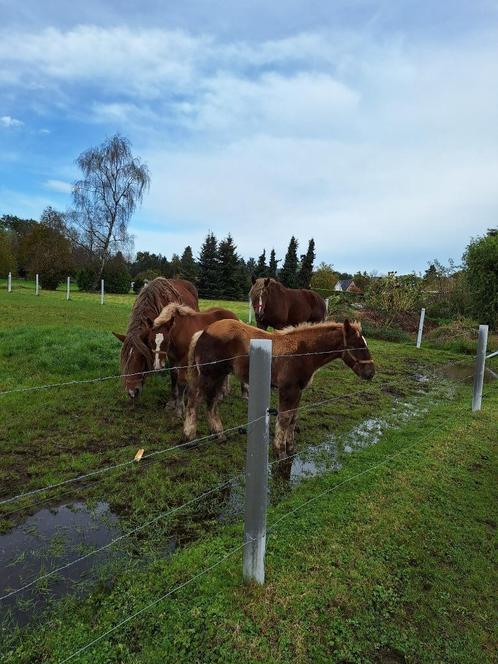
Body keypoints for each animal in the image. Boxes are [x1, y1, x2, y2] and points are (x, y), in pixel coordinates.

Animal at [183, 320, 374, 460]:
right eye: (357, 346)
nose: (370, 372)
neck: (302, 352)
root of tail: (203, 332)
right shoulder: (288, 390)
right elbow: (284, 418)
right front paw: (280, 450)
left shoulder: (299, 390)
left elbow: (293, 418)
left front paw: (291, 448)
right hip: (209, 375)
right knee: (193, 400)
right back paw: (190, 437)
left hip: (220, 375)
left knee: (212, 402)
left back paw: (219, 435)